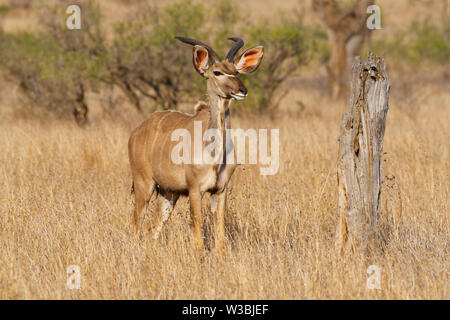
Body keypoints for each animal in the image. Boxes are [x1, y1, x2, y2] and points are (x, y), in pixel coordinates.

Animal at [127, 36, 264, 249]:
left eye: (236, 71)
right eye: (217, 72)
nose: (242, 90)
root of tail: (136, 132)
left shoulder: (220, 191)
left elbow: (220, 238)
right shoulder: (194, 190)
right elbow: (198, 238)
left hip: (168, 194)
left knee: (153, 230)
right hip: (144, 185)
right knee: (135, 225)